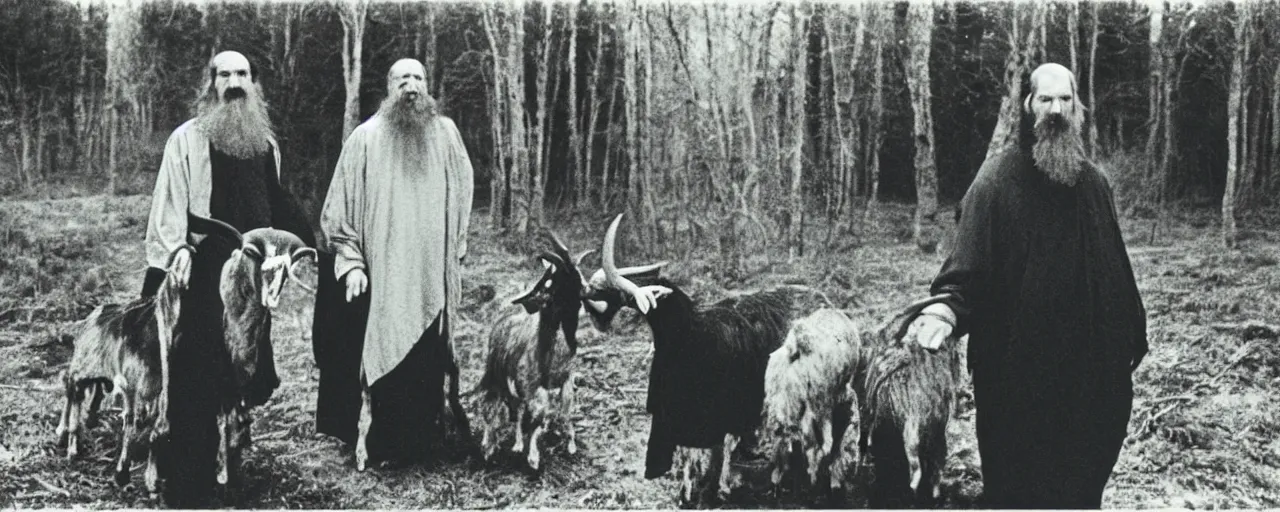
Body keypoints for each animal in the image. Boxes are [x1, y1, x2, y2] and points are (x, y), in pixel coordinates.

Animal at [54, 244, 192, 491]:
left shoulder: (158, 391)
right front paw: (121, 473)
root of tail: (93, 315)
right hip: (83, 364)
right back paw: (67, 437)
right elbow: (130, 420)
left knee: (82, 389)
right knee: (71, 386)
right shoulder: (130, 386)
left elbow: (156, 429)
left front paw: (151, 480)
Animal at [578, 213, 788, 506]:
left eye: (619, 293)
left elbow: (713, 456)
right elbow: (691, 456)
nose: (585, 296)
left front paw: (708, 495)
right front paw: (687, 494)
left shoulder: (711, 417)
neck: (687, 336)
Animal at [762, 305, 865, 499]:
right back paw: (814, 485)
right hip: (817, 407)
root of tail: (798, 346)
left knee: (782, 440)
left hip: (780, 406)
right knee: (818, 447)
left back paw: (778, 484)